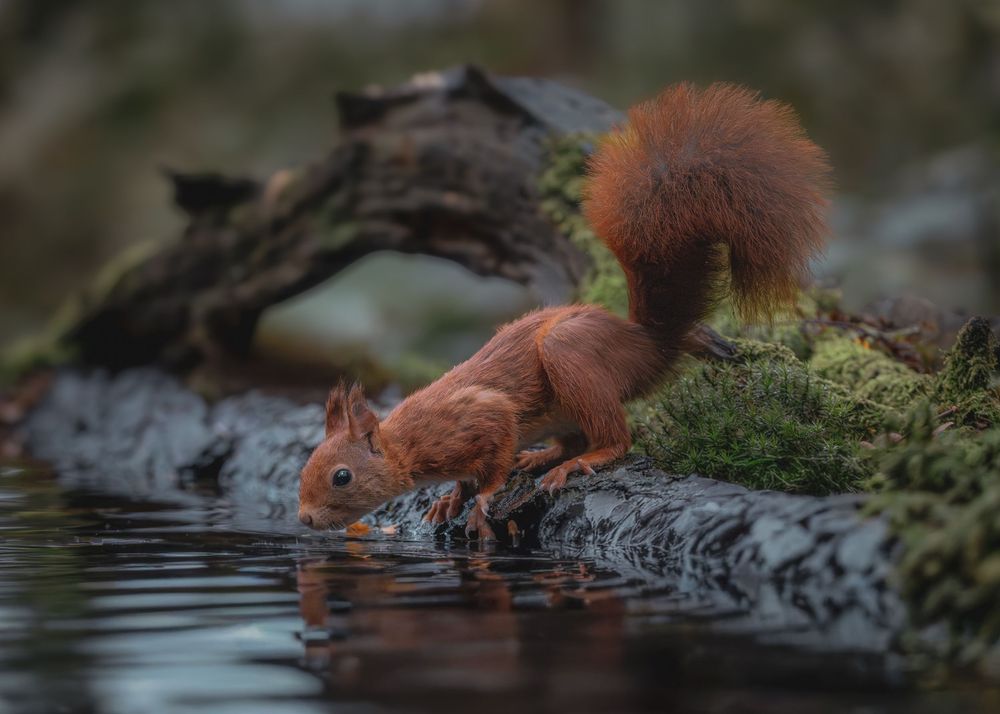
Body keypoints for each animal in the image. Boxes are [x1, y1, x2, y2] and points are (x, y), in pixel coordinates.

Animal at [298, 82, 831, 539]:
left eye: (342, 476)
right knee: (576, 438)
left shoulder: (481, 417)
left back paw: (575, 463)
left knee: (616, 439)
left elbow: (494, 456)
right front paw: (451, 496)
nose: (303, 519)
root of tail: (650, 342)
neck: (406, 444)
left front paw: (480, 498)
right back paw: (542, 457)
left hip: (570, 356)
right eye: (306, 465)